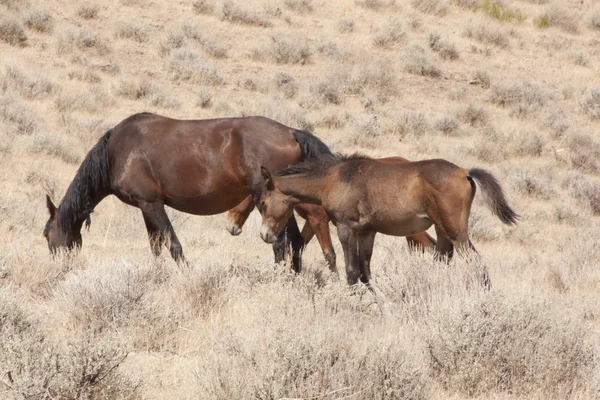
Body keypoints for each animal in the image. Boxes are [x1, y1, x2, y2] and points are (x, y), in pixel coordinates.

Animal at [42, 111, 332, 272]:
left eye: (46, 235)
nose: (57, 267)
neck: (116, 152)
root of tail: (291, 132)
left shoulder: (151, 204)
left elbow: (173, 245)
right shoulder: (146, 207)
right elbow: (156, 246)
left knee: (281, 244)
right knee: (296, 242)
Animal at [225, 156, 436, 276]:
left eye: (260, 201)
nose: (231, 226)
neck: (317, 185)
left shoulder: (318, 220)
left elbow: (329, 254)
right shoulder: (311, 222)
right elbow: (299, 245)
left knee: (430, 246)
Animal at [253, 155, 516, 290]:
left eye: (263, 203)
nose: (265, 235)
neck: (332, 179)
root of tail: (465, 172)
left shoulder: (345, 228)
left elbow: (351, 271)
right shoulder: (367, 232)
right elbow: (365, 272)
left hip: (456, 231)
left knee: (476, 263)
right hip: (442, 230)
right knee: (442, 259)